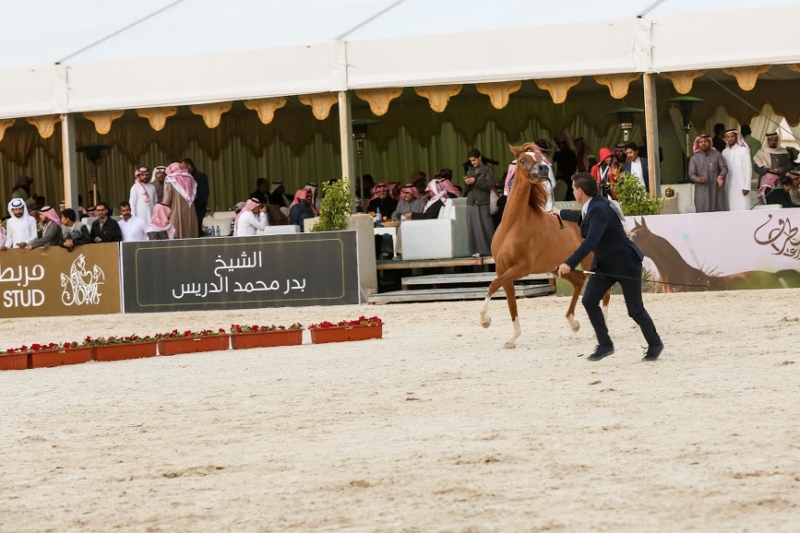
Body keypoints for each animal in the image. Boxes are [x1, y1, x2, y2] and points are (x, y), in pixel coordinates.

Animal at [478, 143, 608, 348]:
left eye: (539, 158)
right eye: (522, 160)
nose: (543, 169)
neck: (512, 225)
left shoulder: (522, 268)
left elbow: (493, 285)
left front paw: (485, 320)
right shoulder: (502, 268)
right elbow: (511, 302)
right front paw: (512, 339)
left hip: (588, 263)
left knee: (605, 292)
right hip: (558, 267)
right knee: (579, 282)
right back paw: (574, 323)